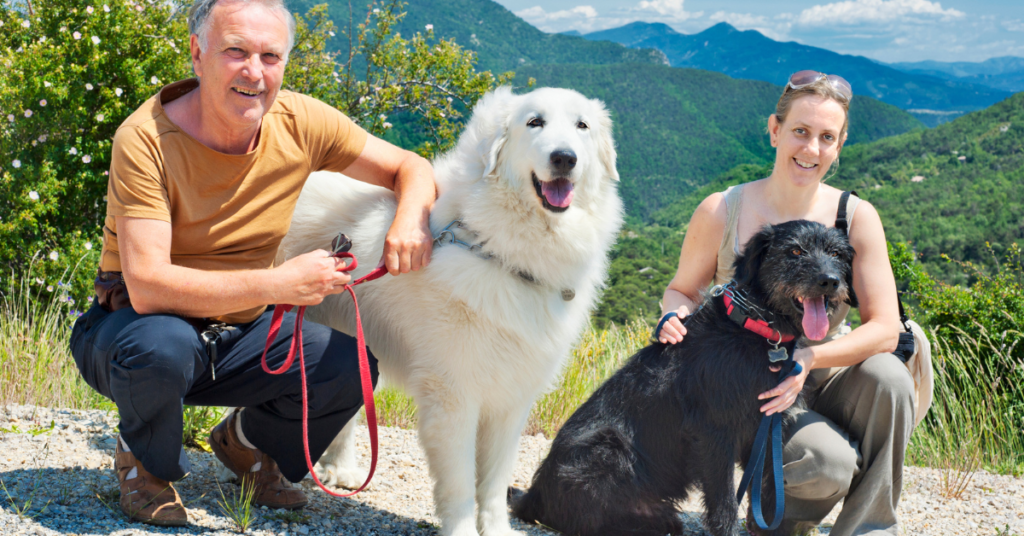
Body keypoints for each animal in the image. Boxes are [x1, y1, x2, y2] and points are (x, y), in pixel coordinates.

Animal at [276, 88, 618, 536]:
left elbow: (494, 483)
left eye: (582, 126)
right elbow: (459, 482)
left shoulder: (512, 399)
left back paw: (342, 471)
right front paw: (462, 530)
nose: (564, 158)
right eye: (534, 123)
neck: (494, 247)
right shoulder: (454, 395)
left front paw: (497, 530)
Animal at [512, 220, 856, 532]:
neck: (754, 329)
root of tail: (533, 495)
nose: (829, 281)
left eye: (836, 254)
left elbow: (767, 491)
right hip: (606, 448)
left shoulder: (767, 428)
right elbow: (725, 503)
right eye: (795, 251)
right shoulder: (715, 432)